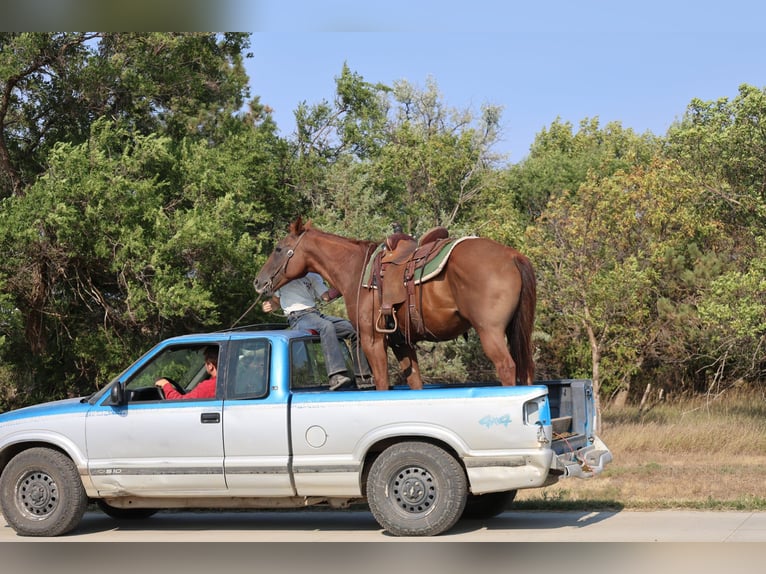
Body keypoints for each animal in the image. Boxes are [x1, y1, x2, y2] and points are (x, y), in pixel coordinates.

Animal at [253, 217, 536, 390]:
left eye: (279, 248)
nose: (258, 281)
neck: (356, 269)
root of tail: (513, 256)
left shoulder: (372, 340)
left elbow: (381, 383)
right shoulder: (401, 343)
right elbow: (415, 383)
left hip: (490, 332)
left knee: (507, 368)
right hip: (518, 332)